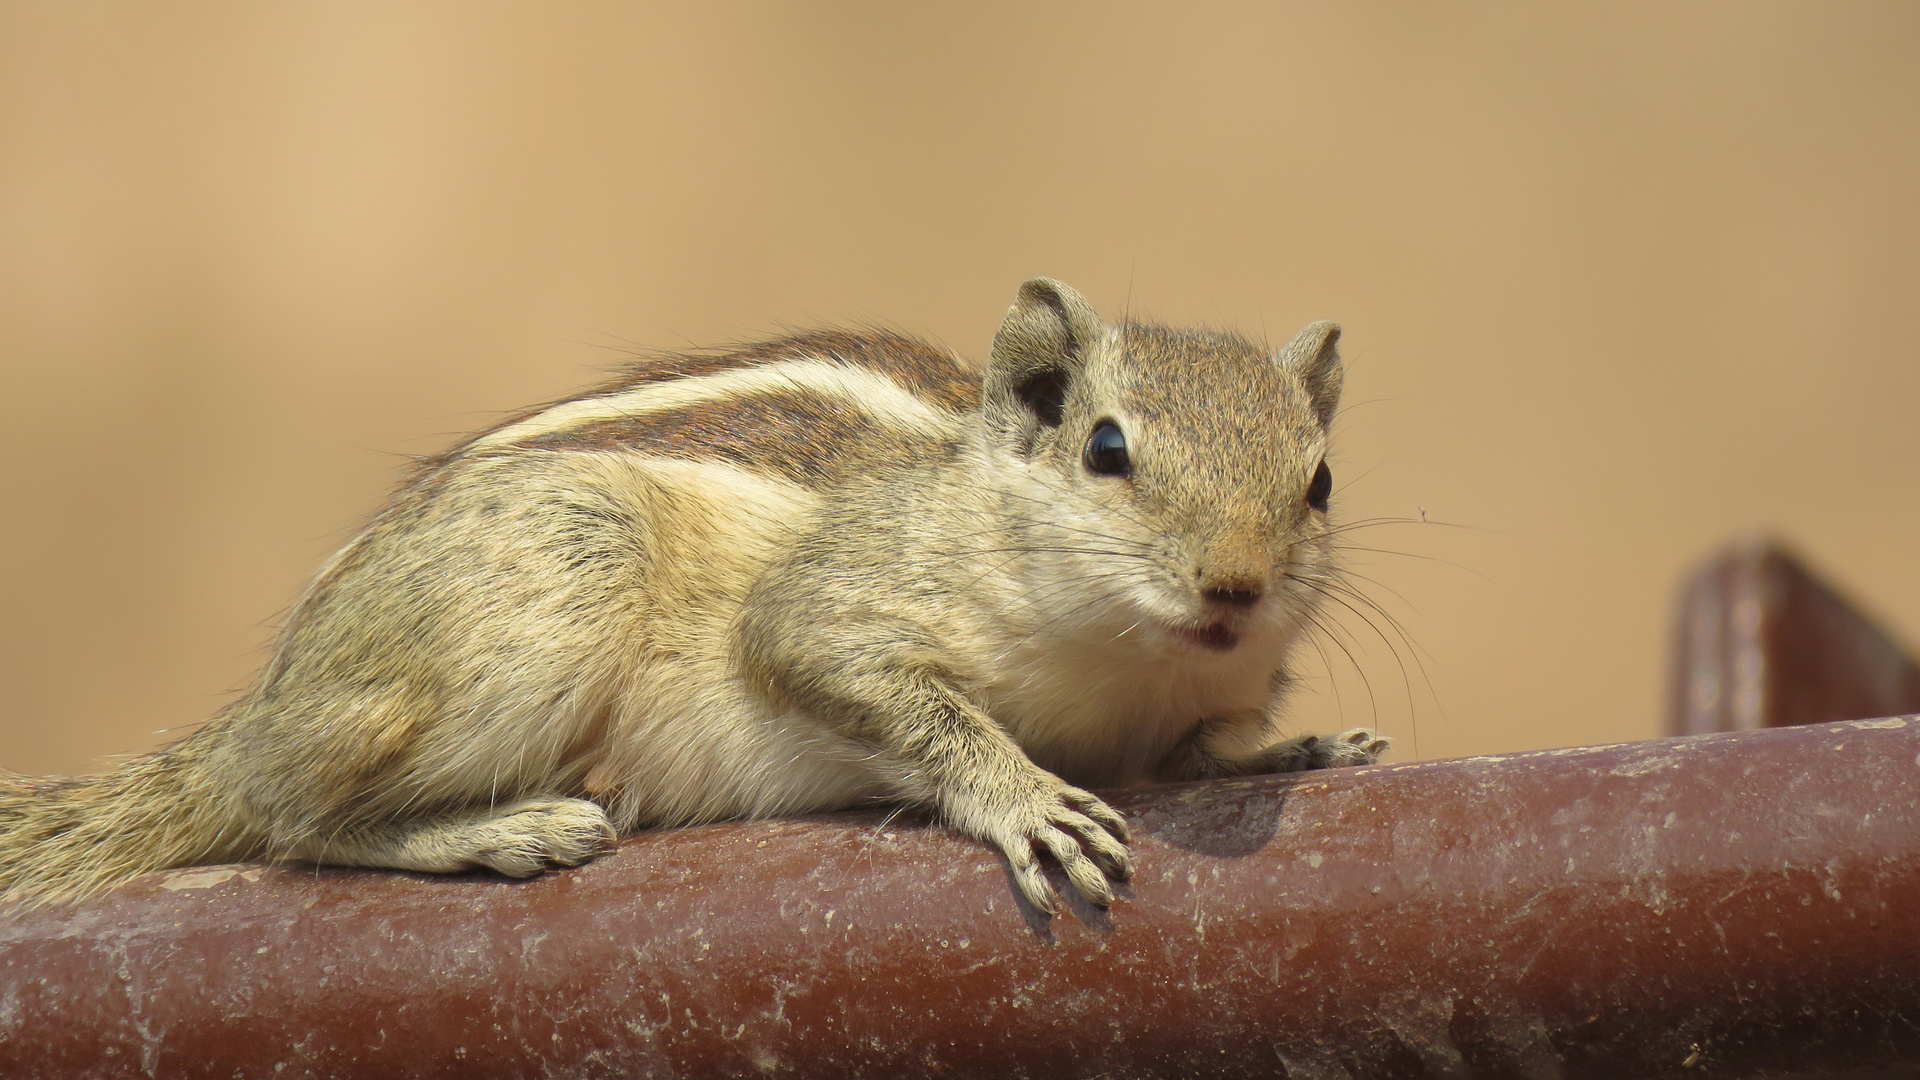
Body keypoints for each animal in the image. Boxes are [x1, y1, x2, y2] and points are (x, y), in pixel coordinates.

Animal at [0, 274, 1382, 907]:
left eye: (1318, 481)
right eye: (1106, 449)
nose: (1236, 586)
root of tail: (252, 717)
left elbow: (1204, 751)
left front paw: (1301, 751)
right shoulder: (830, 610)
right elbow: (886, 691)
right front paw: (1026, 798)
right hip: (565, 567)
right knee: (292, 819)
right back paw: (511, 827)